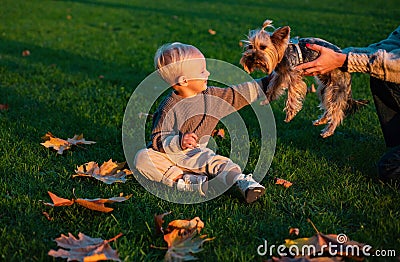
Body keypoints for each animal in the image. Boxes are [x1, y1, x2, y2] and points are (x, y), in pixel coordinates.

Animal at [239, 19, 368, 138]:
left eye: (263, 47)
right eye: (250, 46)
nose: (251, 57)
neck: (283, 54)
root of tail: (348, 73)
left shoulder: (294, 75)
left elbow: (292, 95)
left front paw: (290, 114)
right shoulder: (281, 75)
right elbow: (273, 87)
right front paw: (267, 99)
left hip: (337, 87)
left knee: (336, 111)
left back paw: (328, 131)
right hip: (325, 89)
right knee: (328, 105)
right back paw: (321, 121)